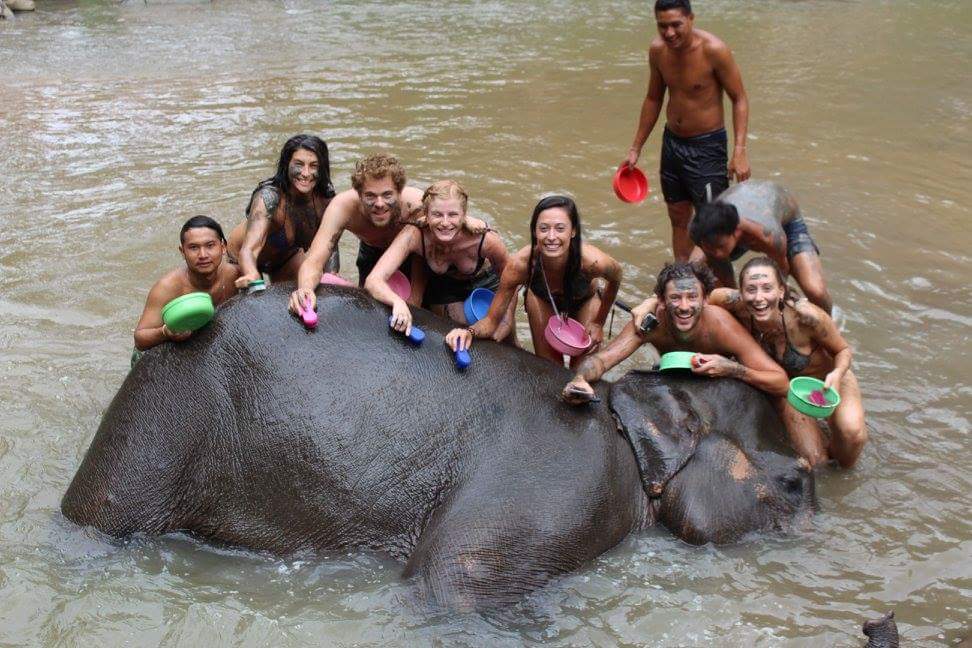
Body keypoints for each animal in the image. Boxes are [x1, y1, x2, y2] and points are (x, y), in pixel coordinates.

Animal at [61, 285, 815, 609]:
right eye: (797, 481)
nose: (813, 500)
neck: (623, 413)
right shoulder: (565, 477)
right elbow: (453, 577)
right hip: (156, 424)